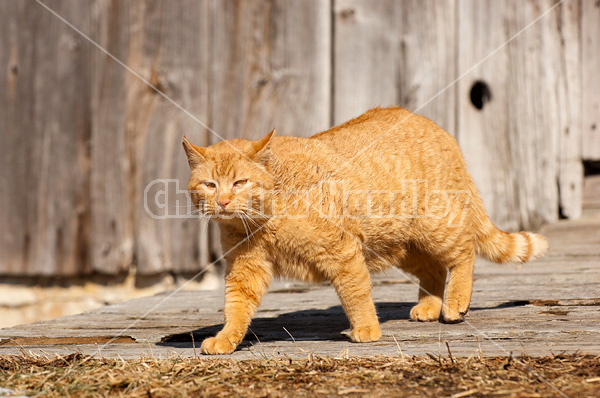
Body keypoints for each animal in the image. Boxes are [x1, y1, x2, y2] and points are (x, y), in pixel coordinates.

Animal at [183, 106, 548, 354]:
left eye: (240, 183)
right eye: (210, 184)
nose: (223, 201)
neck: (264, 218)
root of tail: (438, 129)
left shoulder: (343, 252)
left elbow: (355, 294)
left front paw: (367, 329)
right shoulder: (246, 269)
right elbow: (236, 308)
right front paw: (226, 339)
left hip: (435, 229)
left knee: (464, 255)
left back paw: (455, 303)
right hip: (398, 245)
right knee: (434, 270)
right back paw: (429, 307)